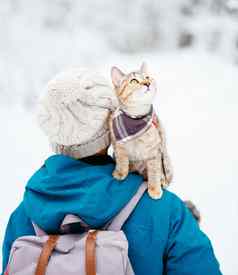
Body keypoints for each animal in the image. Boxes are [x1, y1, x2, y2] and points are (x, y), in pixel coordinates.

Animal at [109, 63, 172, 199]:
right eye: (133, 81)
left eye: (147, 77)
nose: (147, 83)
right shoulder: (118, 144)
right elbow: (122, 160)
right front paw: (120, 173)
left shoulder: (154, 151)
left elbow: (154, 171)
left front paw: (154, 189)